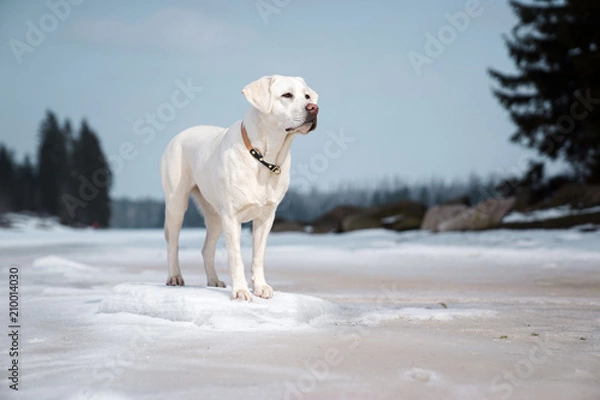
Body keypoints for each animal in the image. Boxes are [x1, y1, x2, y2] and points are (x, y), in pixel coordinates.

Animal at [159, 75, 318, 300]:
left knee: (206, 249)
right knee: (173, 243)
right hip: (176, 203)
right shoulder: (232, 216)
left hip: (215, 215)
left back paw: (214, 280)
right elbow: (236, 257)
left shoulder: (266, 217)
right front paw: (241, 291)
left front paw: (261, 287)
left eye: (307, 96)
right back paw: (175, 277)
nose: (314, 108)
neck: (264, 157)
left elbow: (258, 256)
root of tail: (178, 136)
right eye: (287, 95)